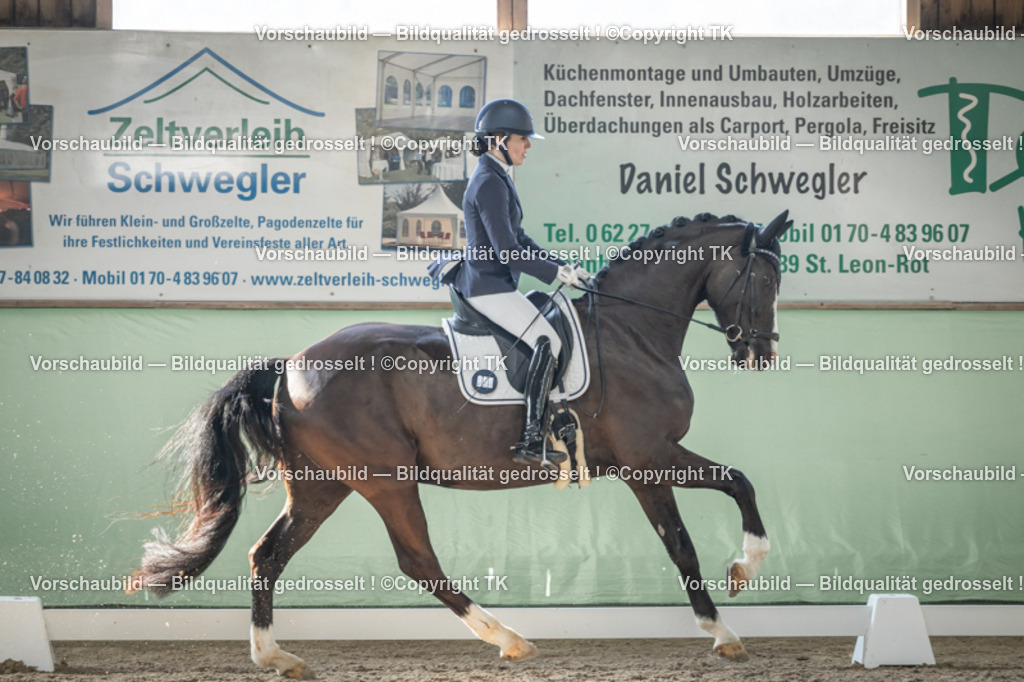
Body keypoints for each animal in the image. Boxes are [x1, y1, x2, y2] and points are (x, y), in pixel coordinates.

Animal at [134, 210, 793, 679]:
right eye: (765, 276)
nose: (761, 353)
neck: (631, 333)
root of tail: (292, 364)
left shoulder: (652, 459)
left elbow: (729, 491)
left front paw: (738, 582)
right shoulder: (648, 460)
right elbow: (693, 531)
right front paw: (728, 616)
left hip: (323, 485)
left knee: (268, 554)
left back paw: (275, 657)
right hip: (385, 481)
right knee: (417, 560)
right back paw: (509, 639)